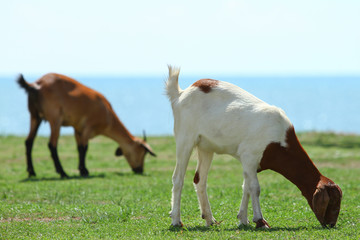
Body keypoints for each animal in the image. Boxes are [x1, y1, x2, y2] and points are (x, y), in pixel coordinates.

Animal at [17, 73, 155, 178]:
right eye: (143, 152)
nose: (140, 170)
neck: (107, 114)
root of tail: (36, 85)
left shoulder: (77, 129)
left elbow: (79, 148)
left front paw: (81, 169)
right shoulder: (88, 127)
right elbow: (84, 148)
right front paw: (84, 171)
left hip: (35, 116)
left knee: (29, 142)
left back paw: (32, 172)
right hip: (55, 119)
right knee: (52, 145)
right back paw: (62, 173)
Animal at [165, 66, 342, 229]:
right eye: (331, 203)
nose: (331, 224)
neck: (279, 138)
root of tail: (181, 94)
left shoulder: (251, 163)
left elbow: (247, 187)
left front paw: (243, 219)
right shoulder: (249, 156)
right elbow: (255, 188)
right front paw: (260, 221)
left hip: (206, 146)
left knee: (200, 180)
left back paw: (209, 219)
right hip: (185, 138)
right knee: (178, 178)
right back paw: (176, 220)